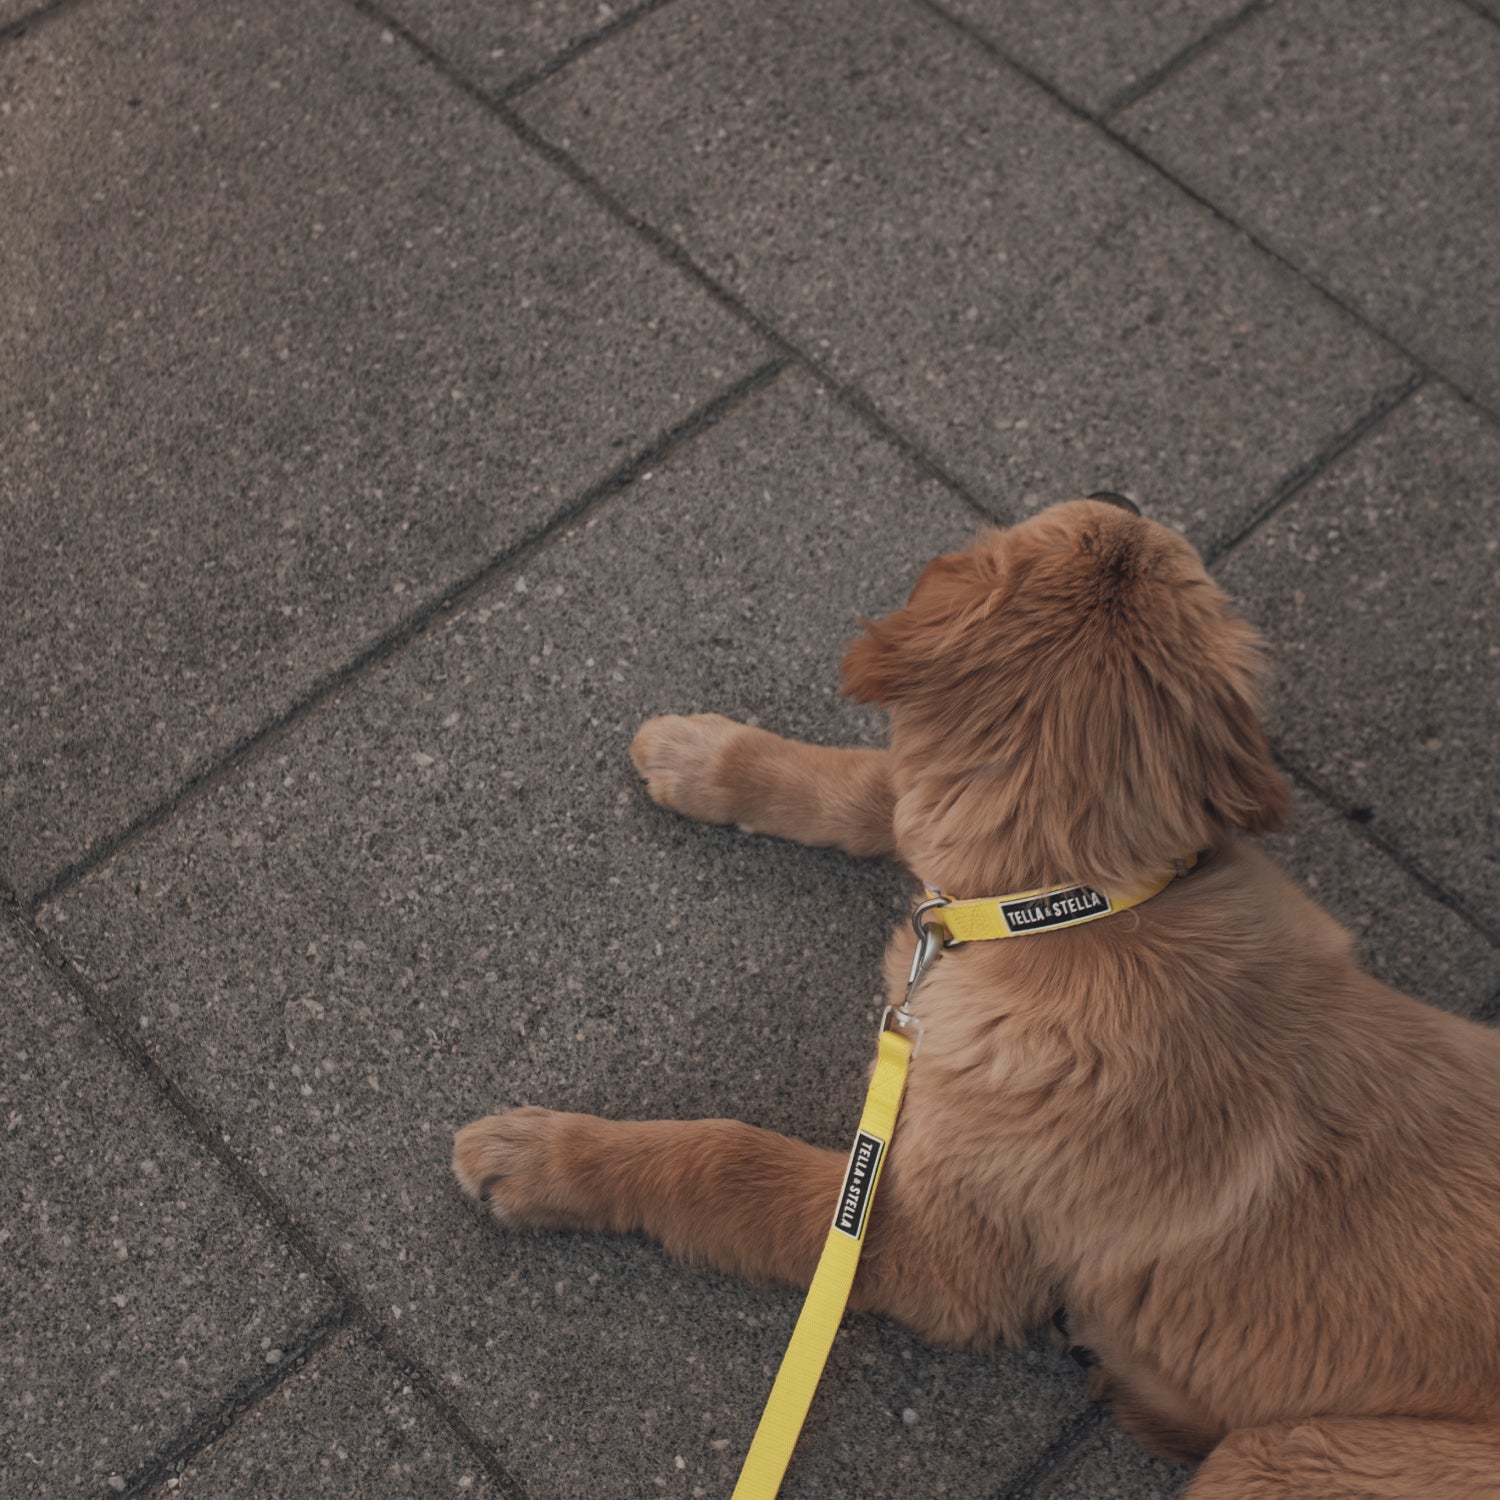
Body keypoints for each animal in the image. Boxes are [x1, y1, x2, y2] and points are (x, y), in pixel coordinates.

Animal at [456, 498, 1500, 1494]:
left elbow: (729, 1161)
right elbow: (875, 789)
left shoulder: (940, 1256)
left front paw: (548, 1155)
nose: (1121, 491)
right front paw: (706, 754)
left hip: (1287, 1457)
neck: (1077, 914)